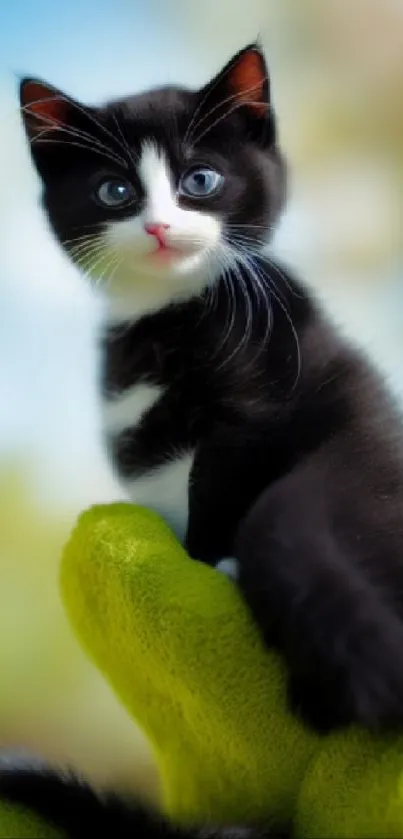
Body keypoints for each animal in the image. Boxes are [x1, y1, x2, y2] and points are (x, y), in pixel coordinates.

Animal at [2, 44, 403, 839]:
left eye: (200, 180)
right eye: (116, 191)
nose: (159, 227)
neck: (170, 318)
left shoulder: (261, 404)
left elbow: (223, 483)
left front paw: (206, 565)